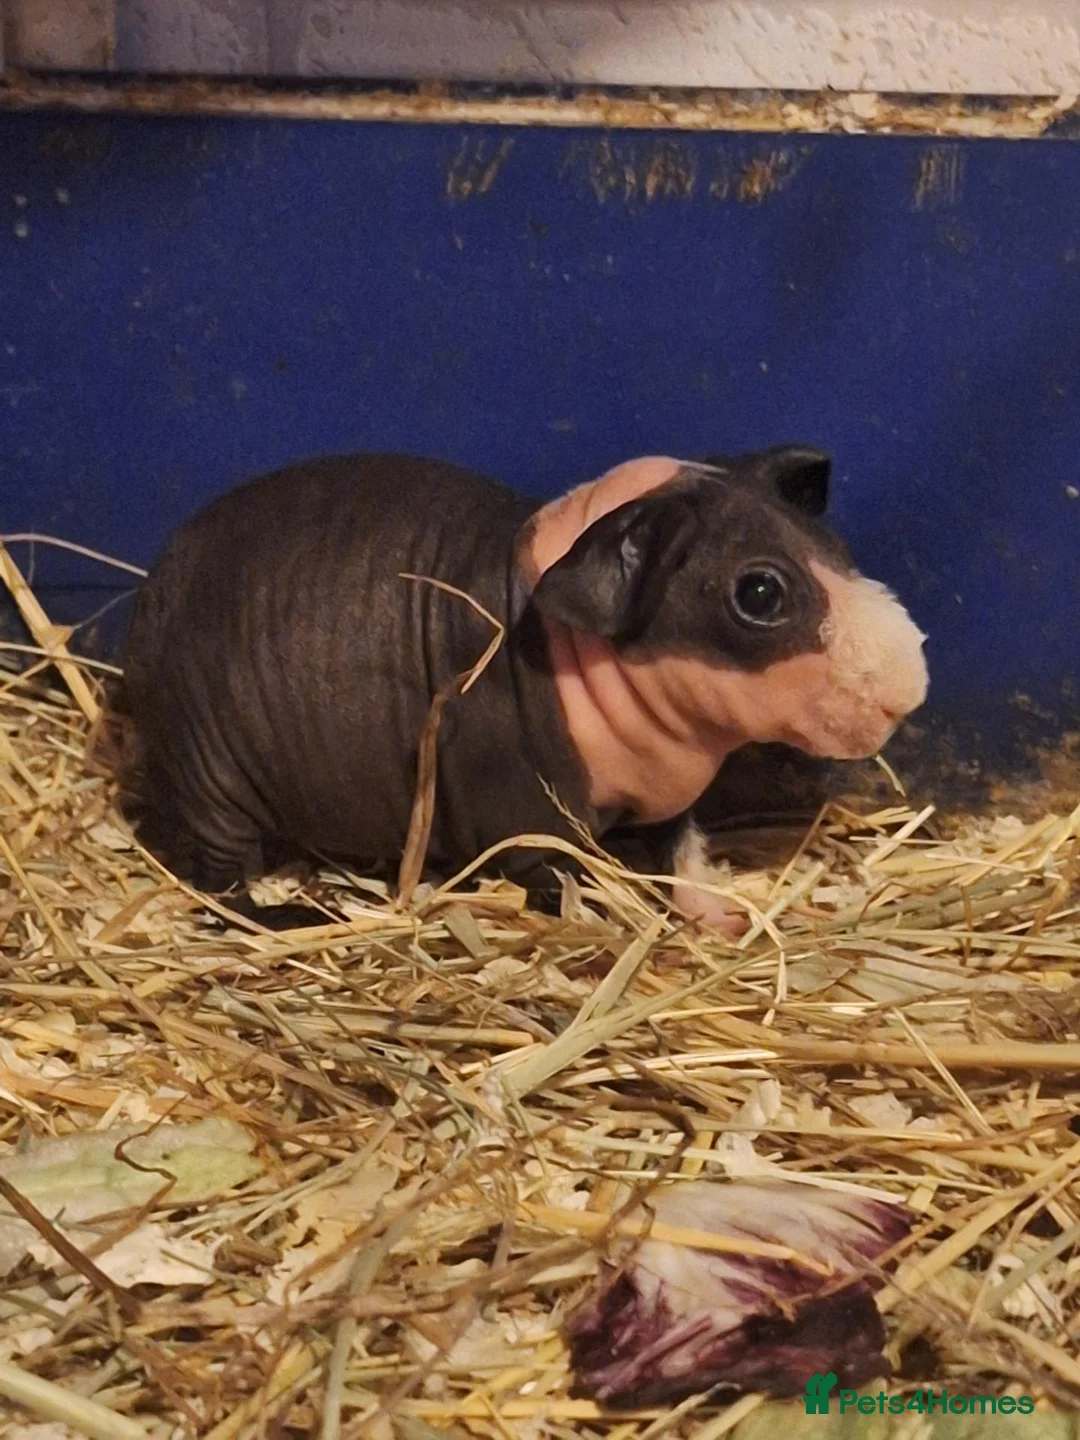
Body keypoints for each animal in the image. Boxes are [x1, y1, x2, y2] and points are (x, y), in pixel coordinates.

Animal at [121, 447, 928, 932]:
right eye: (759, 592)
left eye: (836, 551)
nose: (910, 690)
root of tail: (150, 599)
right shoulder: (533, 821)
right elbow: (570, 876)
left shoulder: (668, 804)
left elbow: (680, 849)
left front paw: (720, 917)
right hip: (213, 785)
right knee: (218, 885)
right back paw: (302, 919)